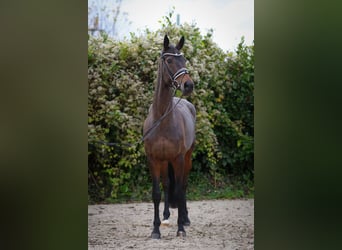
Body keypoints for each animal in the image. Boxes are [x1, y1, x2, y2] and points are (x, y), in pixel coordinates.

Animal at [143, 34, 195, 238]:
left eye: (185, 60)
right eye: (170, 60)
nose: (188, 85)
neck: (162, 120)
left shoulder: (178, 158)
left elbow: (179, 191)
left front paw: (181, 228)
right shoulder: (153, 159)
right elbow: (156, 193)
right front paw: (155, 229)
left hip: (187, 157)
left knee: (184, 186)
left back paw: (185, 219)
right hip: (164, 161)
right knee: (166, 184)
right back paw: (165, 216)